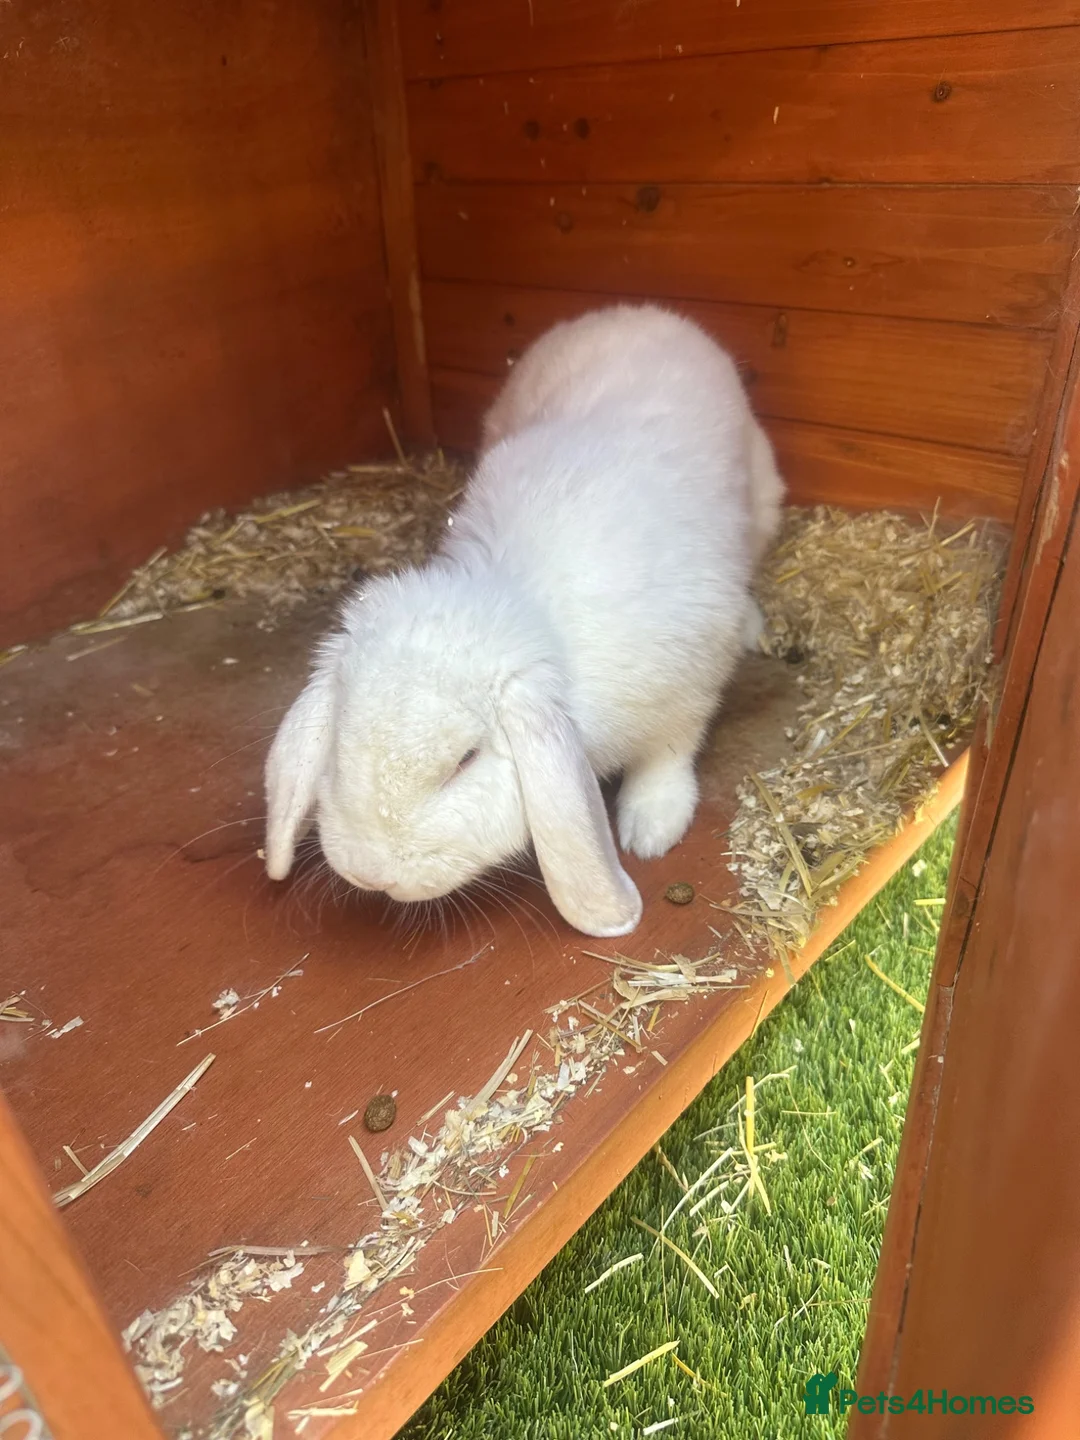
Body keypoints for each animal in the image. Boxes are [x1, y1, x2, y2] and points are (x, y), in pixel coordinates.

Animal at [265, 303, 785, 938]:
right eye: (339, 745)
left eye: (465, 760)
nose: (369, 870)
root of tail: (634, 312)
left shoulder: (687, 688)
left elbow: (668, 755)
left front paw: (650, 828)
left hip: (762, 501)